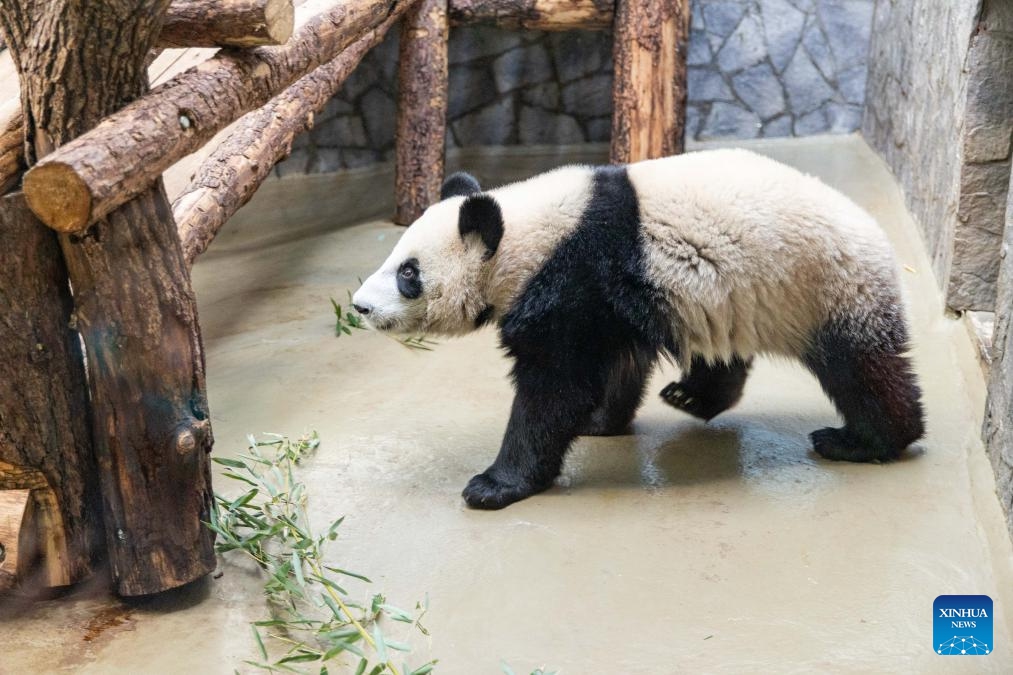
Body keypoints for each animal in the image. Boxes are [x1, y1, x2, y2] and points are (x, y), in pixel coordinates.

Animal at [352, 149, 924, 510]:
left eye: (408, 273)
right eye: (395, 259)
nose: (360, 307)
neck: (530, 235)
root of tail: (879, 237)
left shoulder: (579, 274)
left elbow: (556, 385)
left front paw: (494, 485)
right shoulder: (622, 295)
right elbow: (615, 364)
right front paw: (600, 421)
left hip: (827, 287)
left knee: (861, 368)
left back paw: (865, 441)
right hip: (724, 296)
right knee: (721, 346)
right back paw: (693, 396)